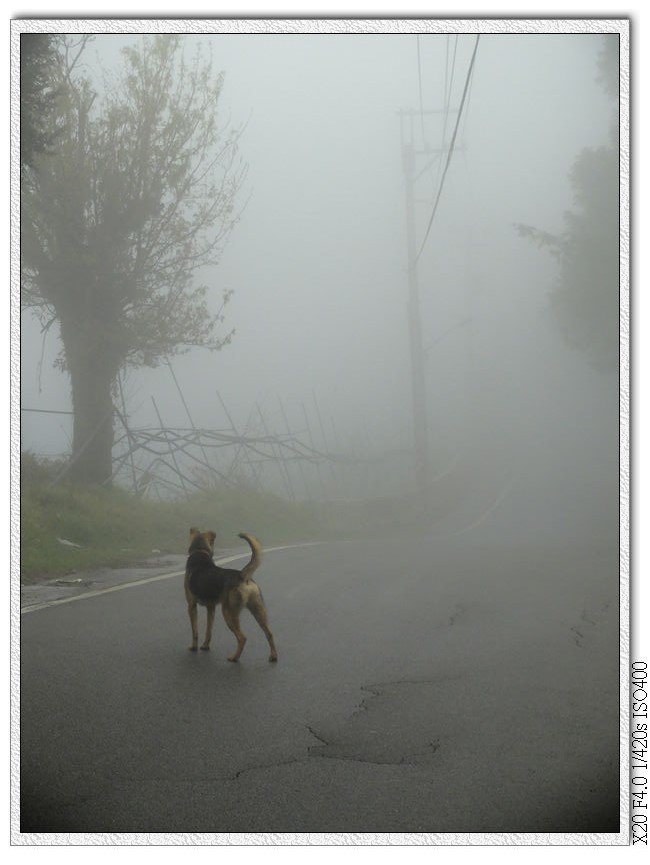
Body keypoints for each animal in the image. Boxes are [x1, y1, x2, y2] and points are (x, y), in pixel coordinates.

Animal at [182, 528, 276, 660]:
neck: (200, 552)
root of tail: (242, 576)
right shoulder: (211, 608)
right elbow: (208, 631)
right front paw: (205, 646)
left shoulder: (191, 606)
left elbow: (195, 631)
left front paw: (193, 647)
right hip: (258, 611)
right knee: (269, 633)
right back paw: (273, 656)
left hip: (228, 613)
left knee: (242, 638)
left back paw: (234, 658)